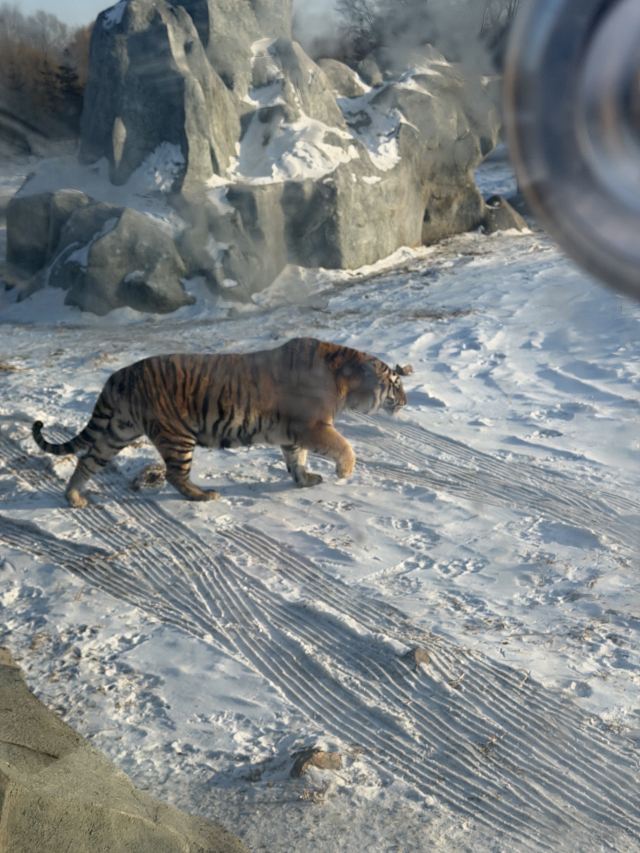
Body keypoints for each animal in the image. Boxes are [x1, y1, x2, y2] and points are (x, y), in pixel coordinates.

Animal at [32, 337, 412, 508]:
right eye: (396, 384)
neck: (345, 378)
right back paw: (203, 496)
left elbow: (296, 459)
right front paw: (344, 472)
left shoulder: (294, 434)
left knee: (87, 459)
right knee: (175, 475)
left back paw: (74, 497)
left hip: (118, 430)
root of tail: (118, 375)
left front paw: (305, 480)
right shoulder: (314, 426)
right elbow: (343, 446)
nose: (407, 401)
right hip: (176, 436)